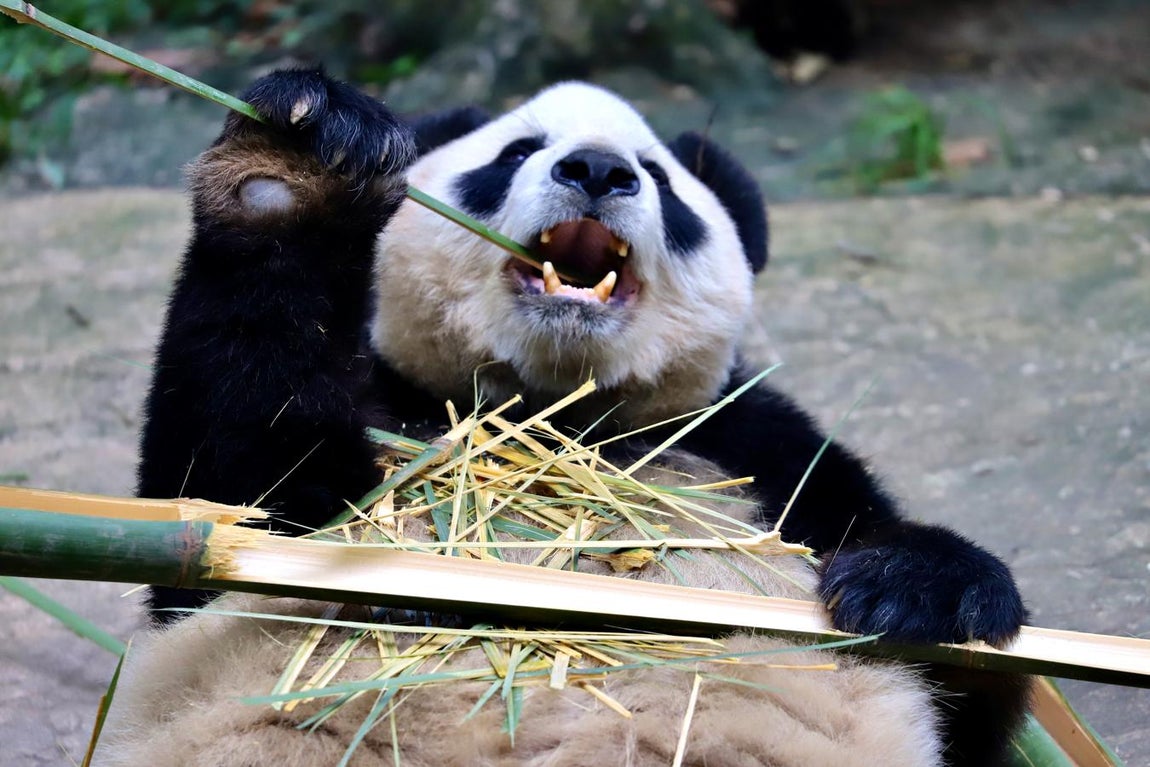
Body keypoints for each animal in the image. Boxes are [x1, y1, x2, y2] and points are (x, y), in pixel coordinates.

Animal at [106, 70, 1029, 766]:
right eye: (516, 152)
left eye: (658, 177)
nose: (597, 170)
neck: (559, 413)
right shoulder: (390, 408)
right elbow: (231, 498)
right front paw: (297, 160)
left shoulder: (756, 447)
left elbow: (969, 699)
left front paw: (916, 591)